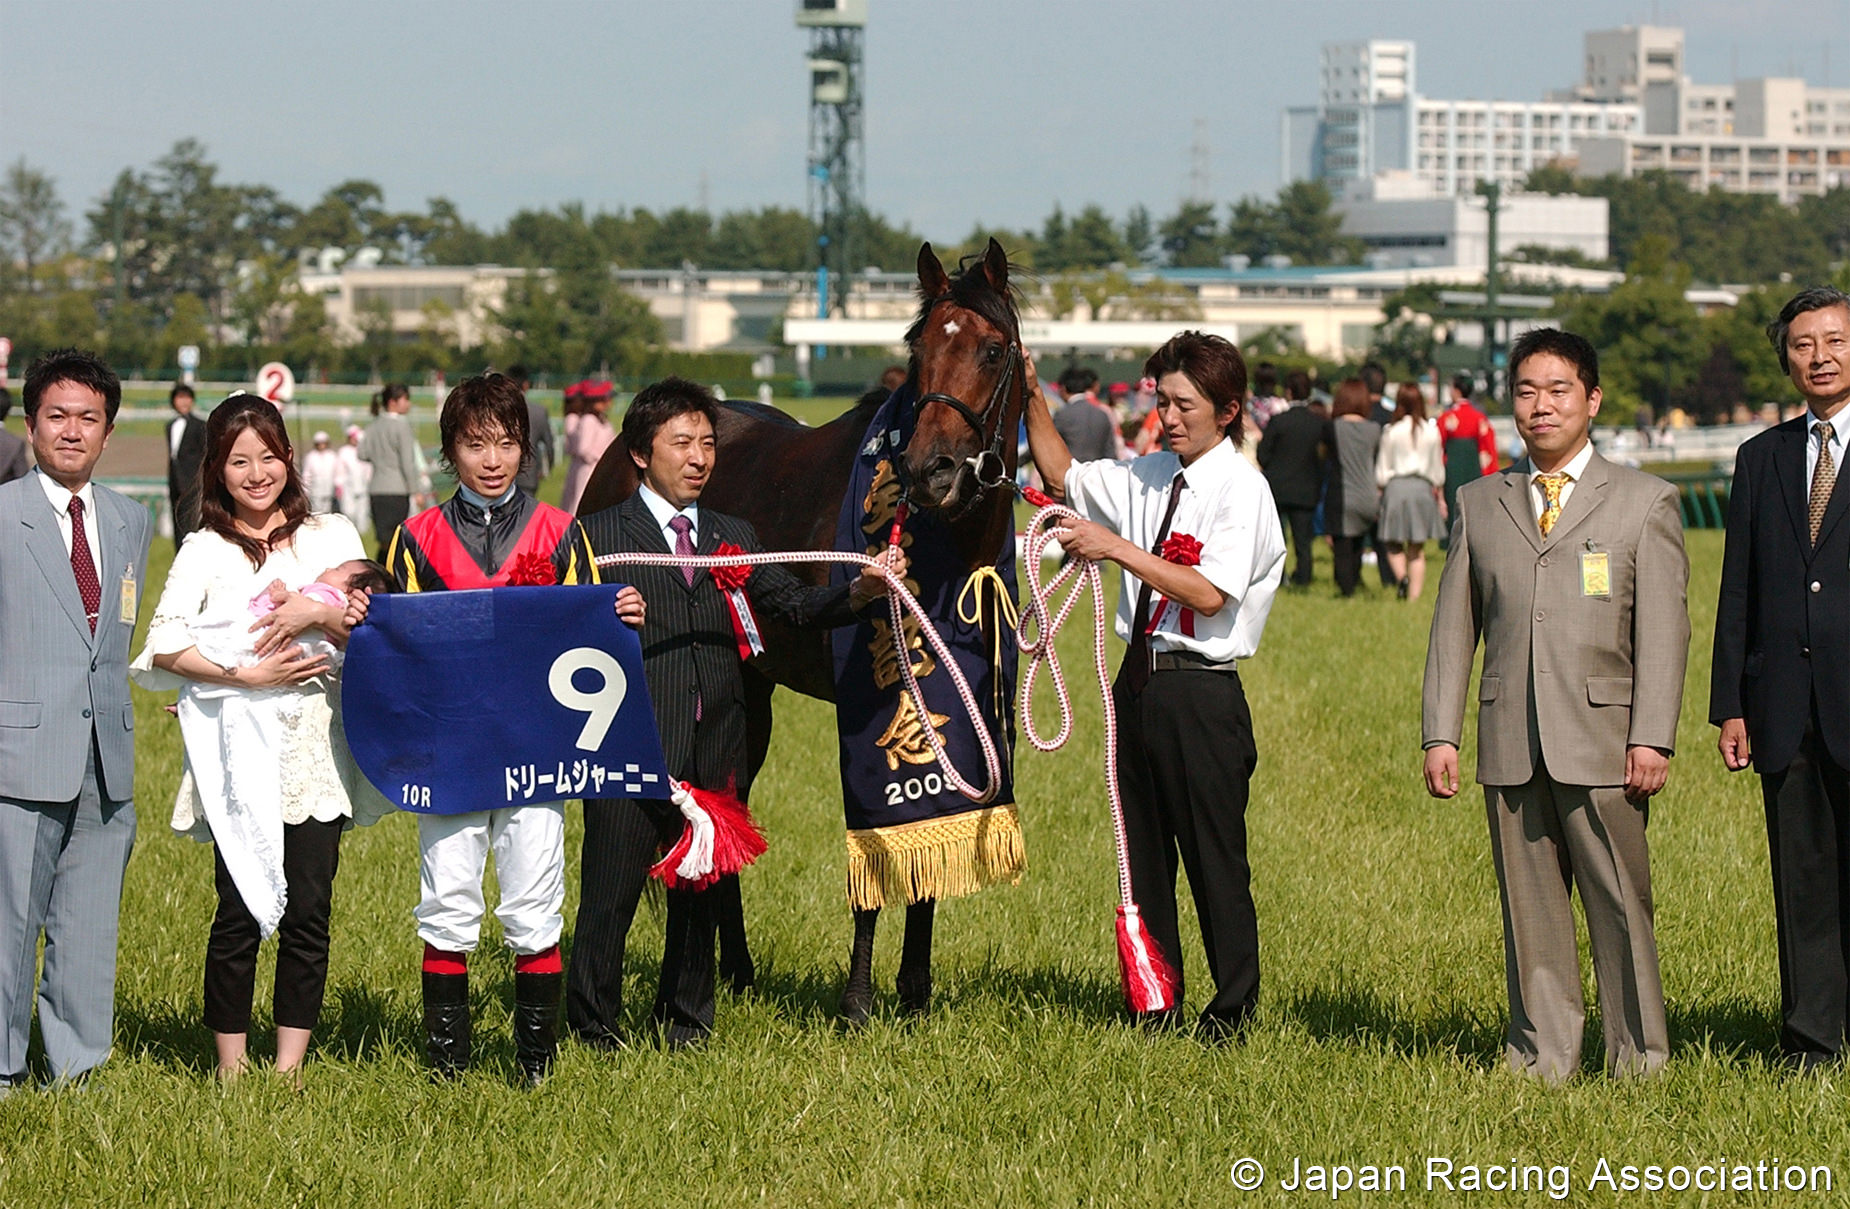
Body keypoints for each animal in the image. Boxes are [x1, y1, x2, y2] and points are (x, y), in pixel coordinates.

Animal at [577, 238, 1028, 1020]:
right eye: (917, 350)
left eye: (994, 349)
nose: (929, 469)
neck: (945, 562)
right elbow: (874, 846)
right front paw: (858, 1000)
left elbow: (927, 840)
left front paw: (914, 992)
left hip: (746, 690)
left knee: (725, 802)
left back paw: (736, 968)